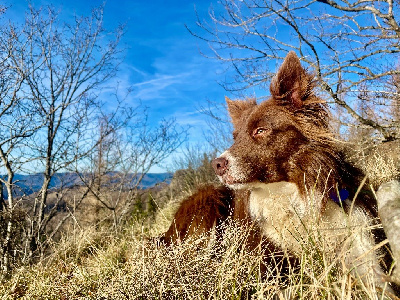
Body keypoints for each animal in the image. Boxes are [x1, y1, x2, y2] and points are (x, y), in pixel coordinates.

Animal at [162, 52, 396, 296]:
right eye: (236, 137)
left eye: (260, 130)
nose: (216, 164)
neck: (288, 194)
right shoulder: (269, 266)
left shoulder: (364, 250)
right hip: (209, 198)